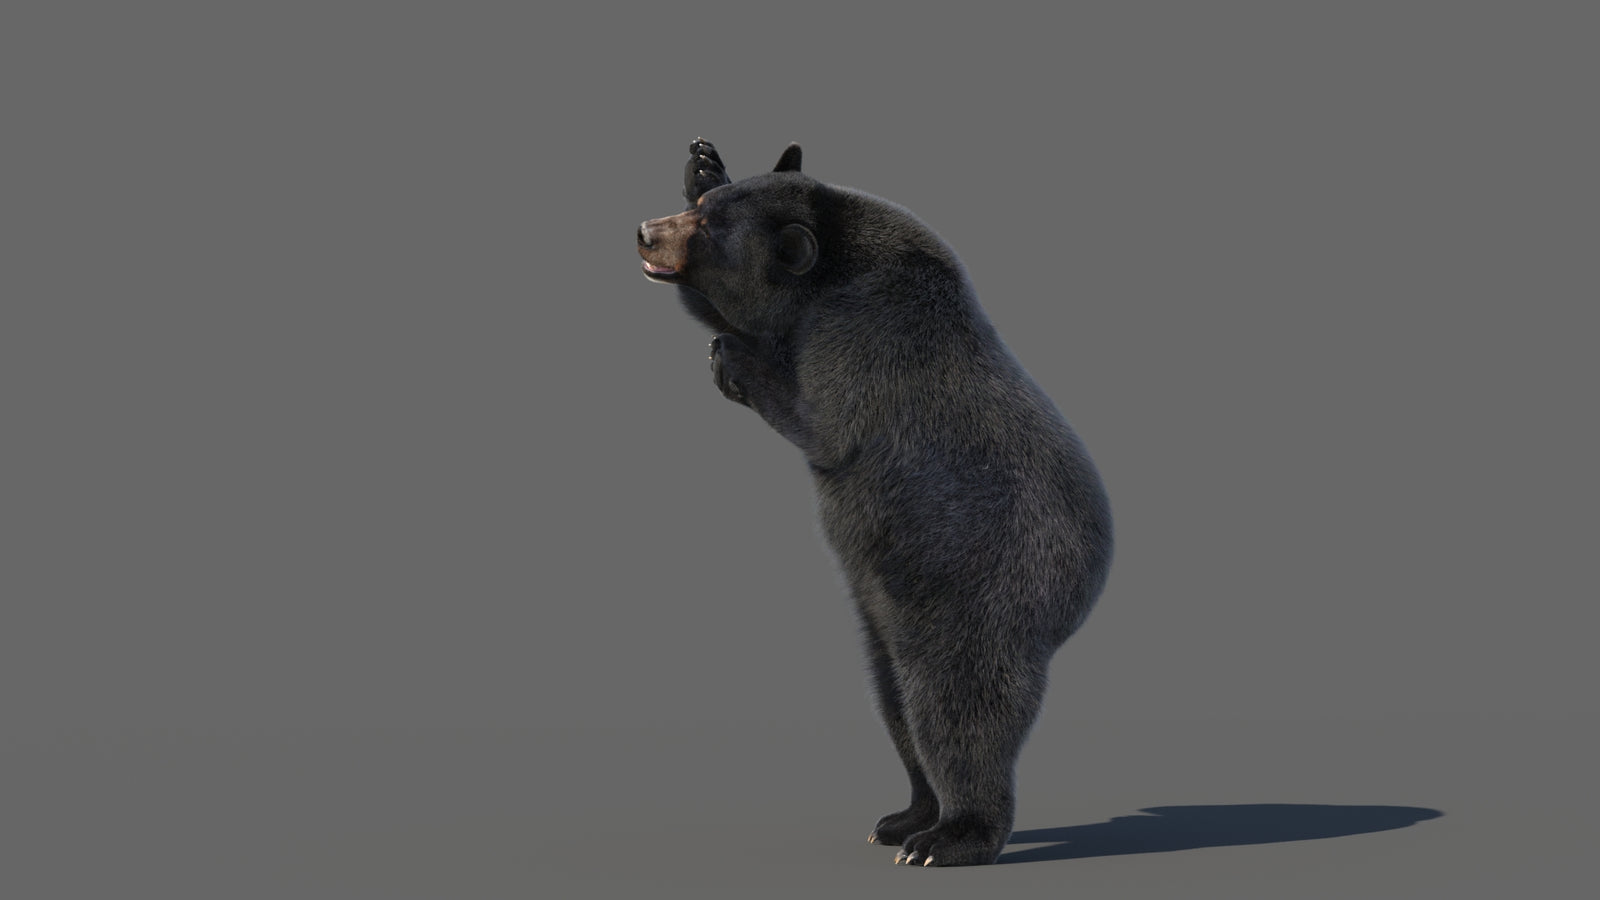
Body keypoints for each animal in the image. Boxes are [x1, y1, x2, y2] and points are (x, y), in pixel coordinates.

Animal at [636, 139, 1113, 867]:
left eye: (709, 233)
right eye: (703, 210)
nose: (644, 232)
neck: (838, 263)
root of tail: (1084, 589)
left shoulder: (866, 336)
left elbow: (823, 420)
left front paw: (734, 355)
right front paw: (704, 160)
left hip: (980, 596)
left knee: (956, 713)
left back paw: (950, 837)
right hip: (886, 619)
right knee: (894, 706)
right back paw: (905, 815)